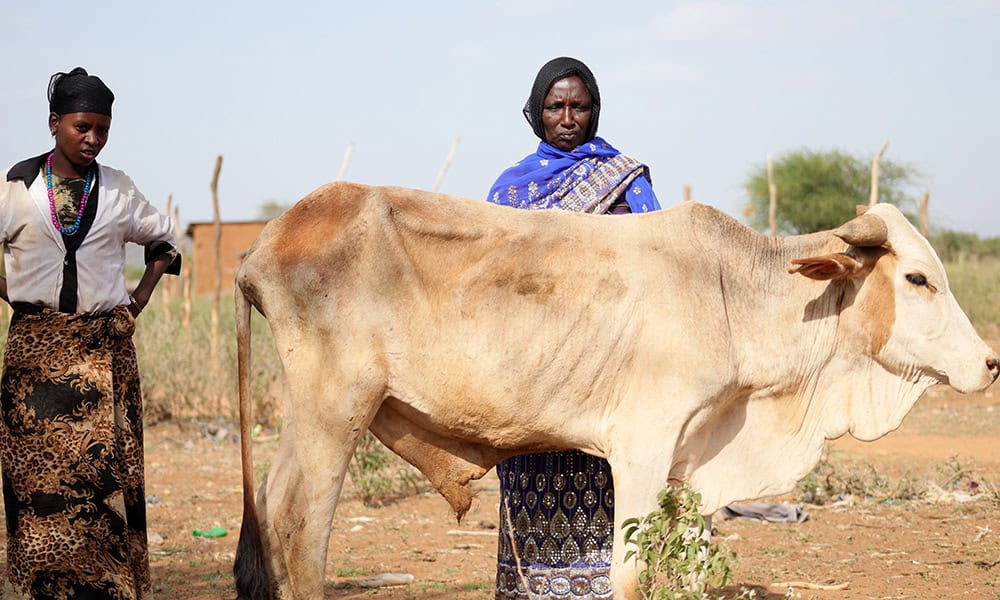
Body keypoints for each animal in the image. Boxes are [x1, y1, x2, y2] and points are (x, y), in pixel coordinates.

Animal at [232, 182, 998, 600]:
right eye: (918, 279)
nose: (990, 363)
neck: (733, 297)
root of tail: (263, 243)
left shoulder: (693, 462)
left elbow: (687, 569)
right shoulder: (641, 448)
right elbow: (629, 575)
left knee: (269, 505)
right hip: (335, 408)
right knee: (300, 522)